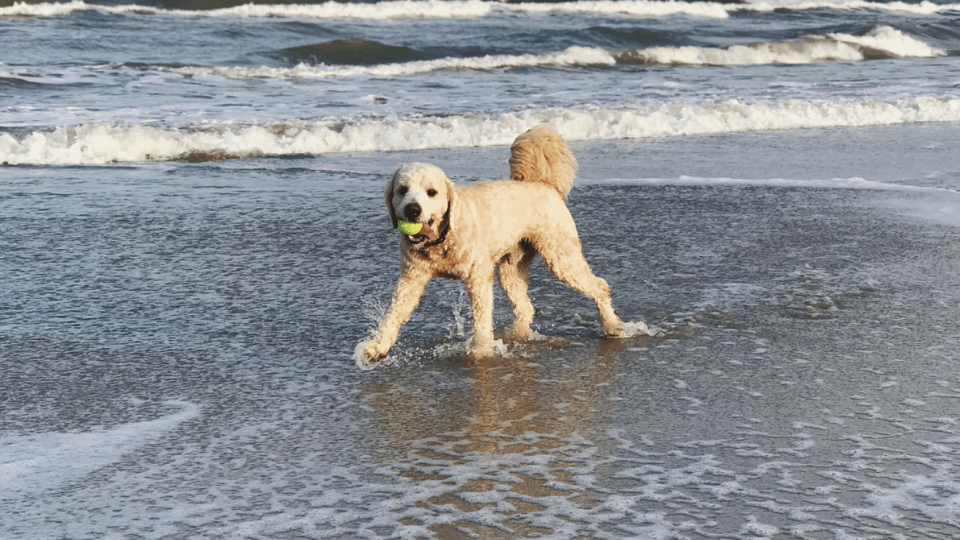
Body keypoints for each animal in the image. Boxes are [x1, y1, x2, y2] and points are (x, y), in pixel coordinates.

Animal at [356, 124, 628, 368]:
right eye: (402, 190)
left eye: (431, 192)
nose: (413, 209)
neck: (442, 239)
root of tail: (542, 183)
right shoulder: (412, 280)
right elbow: (394, 315)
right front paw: (377, 347)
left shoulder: (478, 278)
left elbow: (481, 318)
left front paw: (481, 350)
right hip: (511, 269)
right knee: (526, 307)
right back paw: (516, 335)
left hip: (561, 256)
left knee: (600, 286)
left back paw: (612, 325)